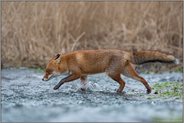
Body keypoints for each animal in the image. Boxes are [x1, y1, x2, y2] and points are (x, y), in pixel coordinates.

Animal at [42, 49, 178, 93]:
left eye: (48, 71)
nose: (42, 79)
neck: (68, 61)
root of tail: (125, 52)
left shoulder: (77, 73)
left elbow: (63, 79)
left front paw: (56, 87)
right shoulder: (84, 75)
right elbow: (84, 85)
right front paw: (83, 90)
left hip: (112, 73)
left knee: (123, 82)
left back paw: (118, 91)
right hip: (127, 72)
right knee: (142, 78)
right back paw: (148, 90)